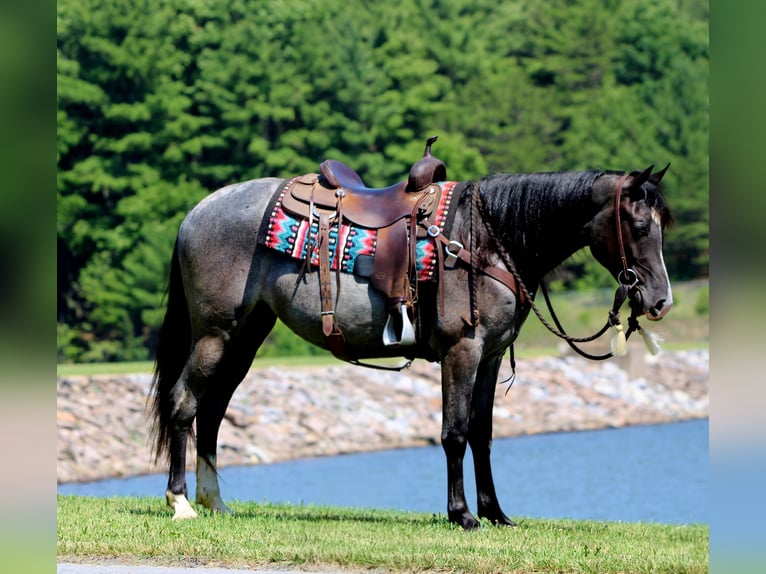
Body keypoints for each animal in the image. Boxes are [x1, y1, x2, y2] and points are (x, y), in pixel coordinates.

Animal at [149, 162, 673, 529]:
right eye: (639, 227)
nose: (661, 301)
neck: (487, 241)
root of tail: (196, 213)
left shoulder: (490, 356)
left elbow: (482, 434)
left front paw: (496, 513)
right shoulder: (462, 351)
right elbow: (454, 432)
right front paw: (462, 514)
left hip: (245, 336)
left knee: (212, 411)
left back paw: (215, 502)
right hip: (214, 334)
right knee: (183, 403)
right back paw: (180, 502)